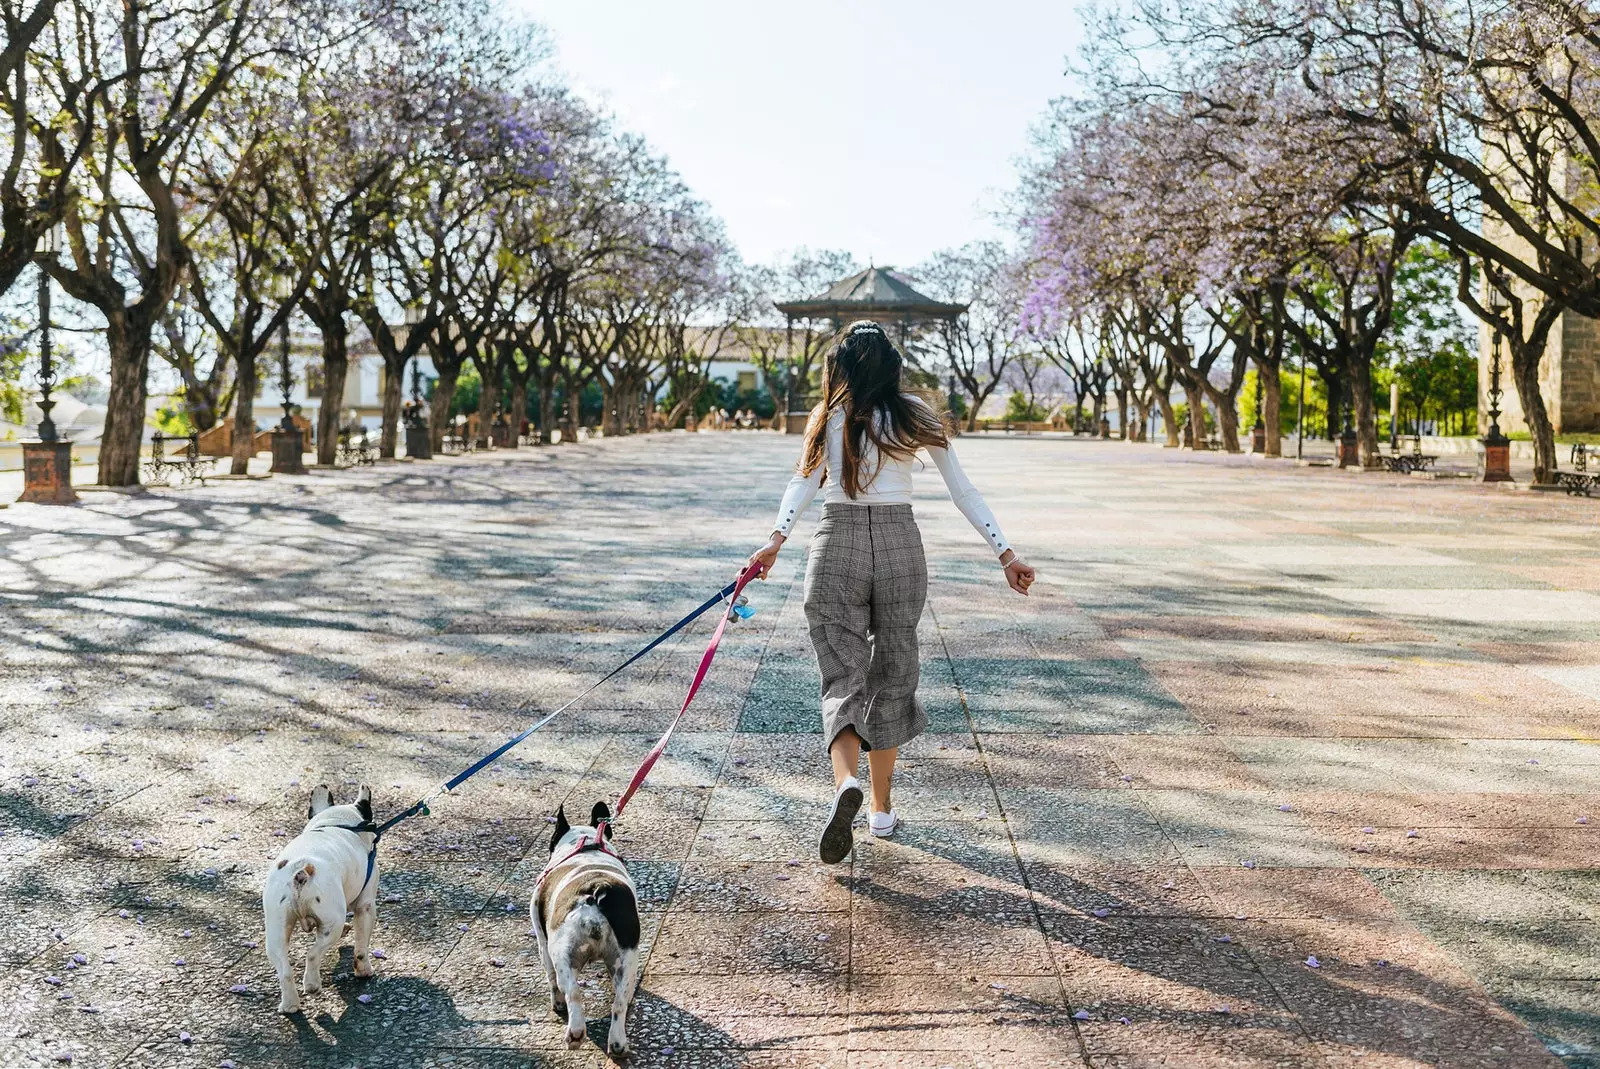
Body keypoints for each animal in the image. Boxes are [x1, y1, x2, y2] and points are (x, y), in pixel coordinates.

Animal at [268, 780, 384, 1017]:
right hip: (332, 922)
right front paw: (364, 970)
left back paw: (289, 1004)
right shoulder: (366, 905)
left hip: (275, 929)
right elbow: (361, 945)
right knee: (313, 953)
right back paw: (312, 985)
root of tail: (300, 871)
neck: (336, 822)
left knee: (284, 969)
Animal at [534, 796, 640, 1056]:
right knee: (620, 1001)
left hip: (563, 952)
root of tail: (597, 888)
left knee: (572, 991)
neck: (588, 845)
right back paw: (618, 1044)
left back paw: (575, 1033)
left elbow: (551, 978)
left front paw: (556, 1004)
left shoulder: (542, 939)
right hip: (628, 958)